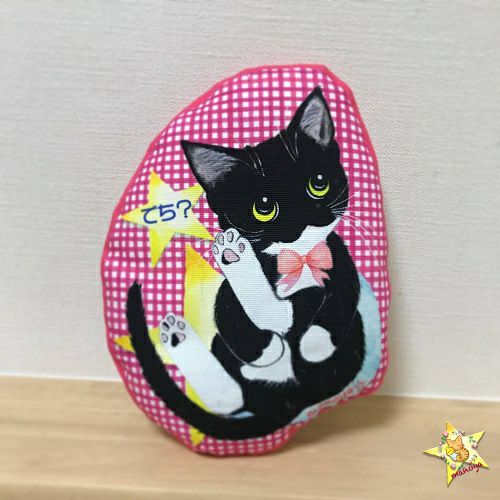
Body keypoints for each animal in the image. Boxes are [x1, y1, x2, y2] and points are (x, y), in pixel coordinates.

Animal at [127, 87, 368, 440]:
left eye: (318, 184)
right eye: (263, 207)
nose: (302, 218)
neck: (295, 260)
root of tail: (290, 401)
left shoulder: (341, 264)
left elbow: (341, 299)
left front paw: (316, 341)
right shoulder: (226, 297)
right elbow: (229, 315)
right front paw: (265, 347)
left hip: (348, 348)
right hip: (225, 347)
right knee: (233, 396)